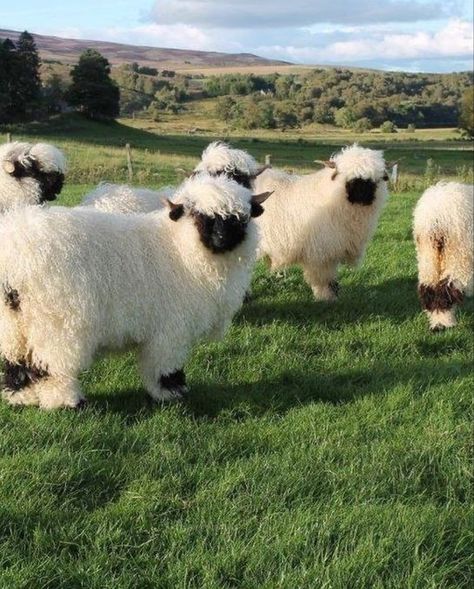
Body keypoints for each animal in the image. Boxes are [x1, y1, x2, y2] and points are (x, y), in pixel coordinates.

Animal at [252, 142, 388, 298]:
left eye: (374, 179)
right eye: (348, 177)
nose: (362, 194)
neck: (330, 194)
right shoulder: (320, 252)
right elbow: (324, 280)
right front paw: (326, 297)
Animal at [412, 181, 472, 328]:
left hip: (428, 256)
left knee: (428, 288)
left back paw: (438, 321)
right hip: (457, 254)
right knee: (448, 288)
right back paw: (446, 323)